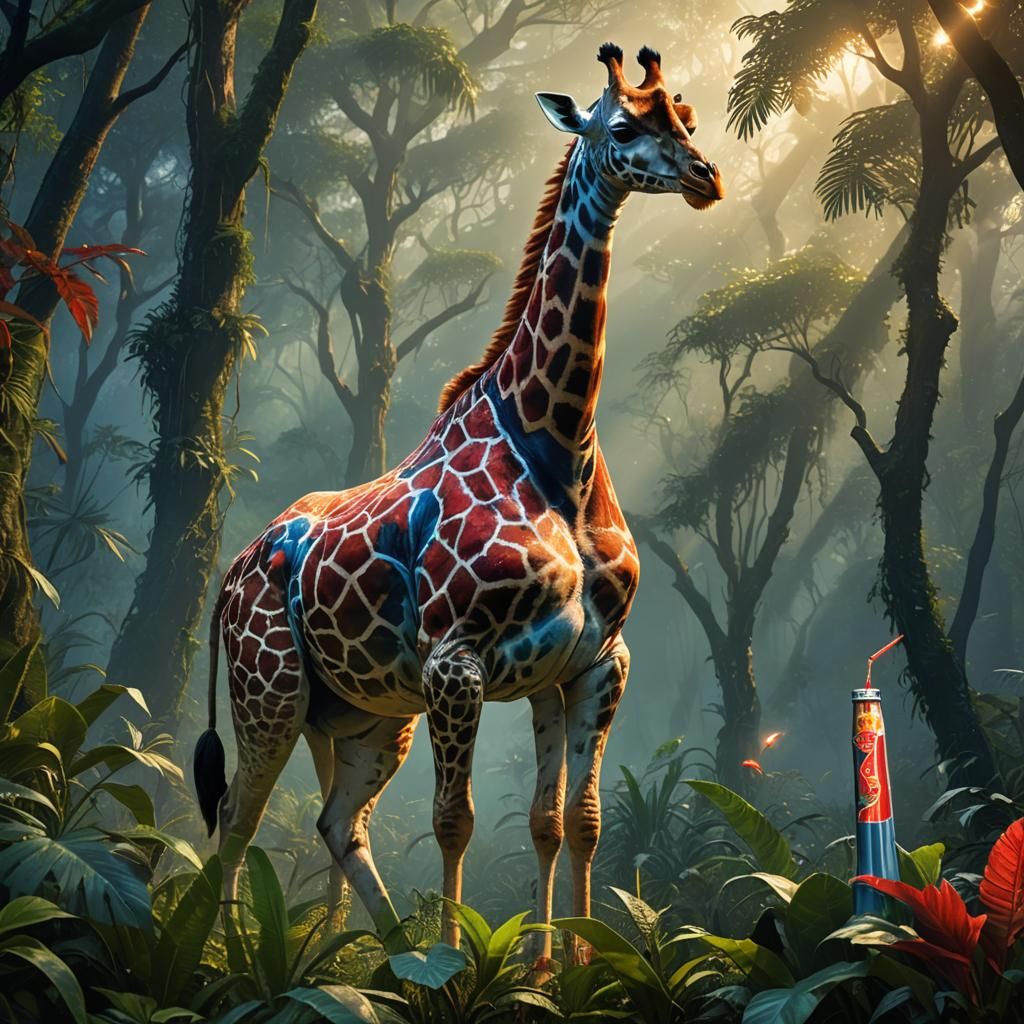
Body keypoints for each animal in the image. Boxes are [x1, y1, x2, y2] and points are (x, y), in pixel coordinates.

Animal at [193, 42, 724, 955]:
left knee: (337, 823)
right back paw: (230, 966)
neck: (560, 447)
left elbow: (570, 822)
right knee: (237, 817)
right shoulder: (457, 658)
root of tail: (230, 577)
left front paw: (560, 966)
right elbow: (455, 821)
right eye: (622, 128)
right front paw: (461, 965)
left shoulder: (591, 660)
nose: (705, 177)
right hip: (271, 691)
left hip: (364, 712)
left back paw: (387, 956)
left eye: (685, 120)